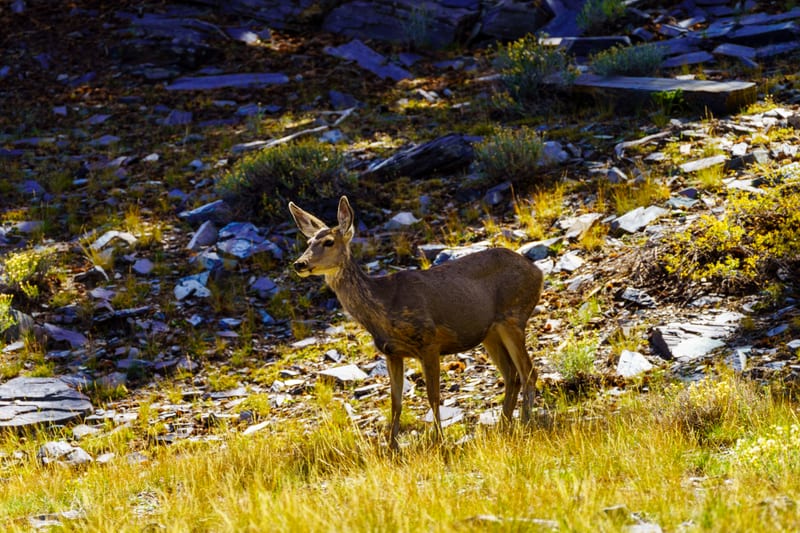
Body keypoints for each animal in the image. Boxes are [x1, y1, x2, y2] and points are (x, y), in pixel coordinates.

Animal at [289, 196, 544, 449]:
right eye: (308, 241)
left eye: (329, 242)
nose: (299, 264)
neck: (383, 307)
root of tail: (537, 271)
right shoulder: (391, 352)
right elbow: (396, 403)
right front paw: (392, 448)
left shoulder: (429, 342)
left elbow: (433, 397)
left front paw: (440, 442)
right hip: (490, 333)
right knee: (512, 376)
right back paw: (504, 427)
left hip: (514, 314)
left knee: (528, 372)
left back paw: (525, 424)